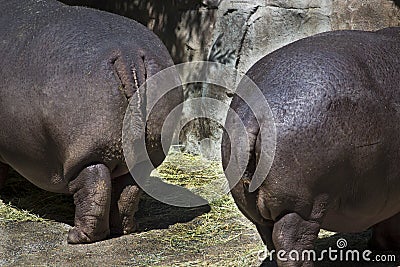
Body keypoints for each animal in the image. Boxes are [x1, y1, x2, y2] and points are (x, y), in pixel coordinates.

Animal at [0, 0, 183, 245]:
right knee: (128, 188)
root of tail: (129, 54)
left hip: (86, 150)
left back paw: (77, 237)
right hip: (144, 151)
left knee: (94, 185)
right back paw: (125, 229)